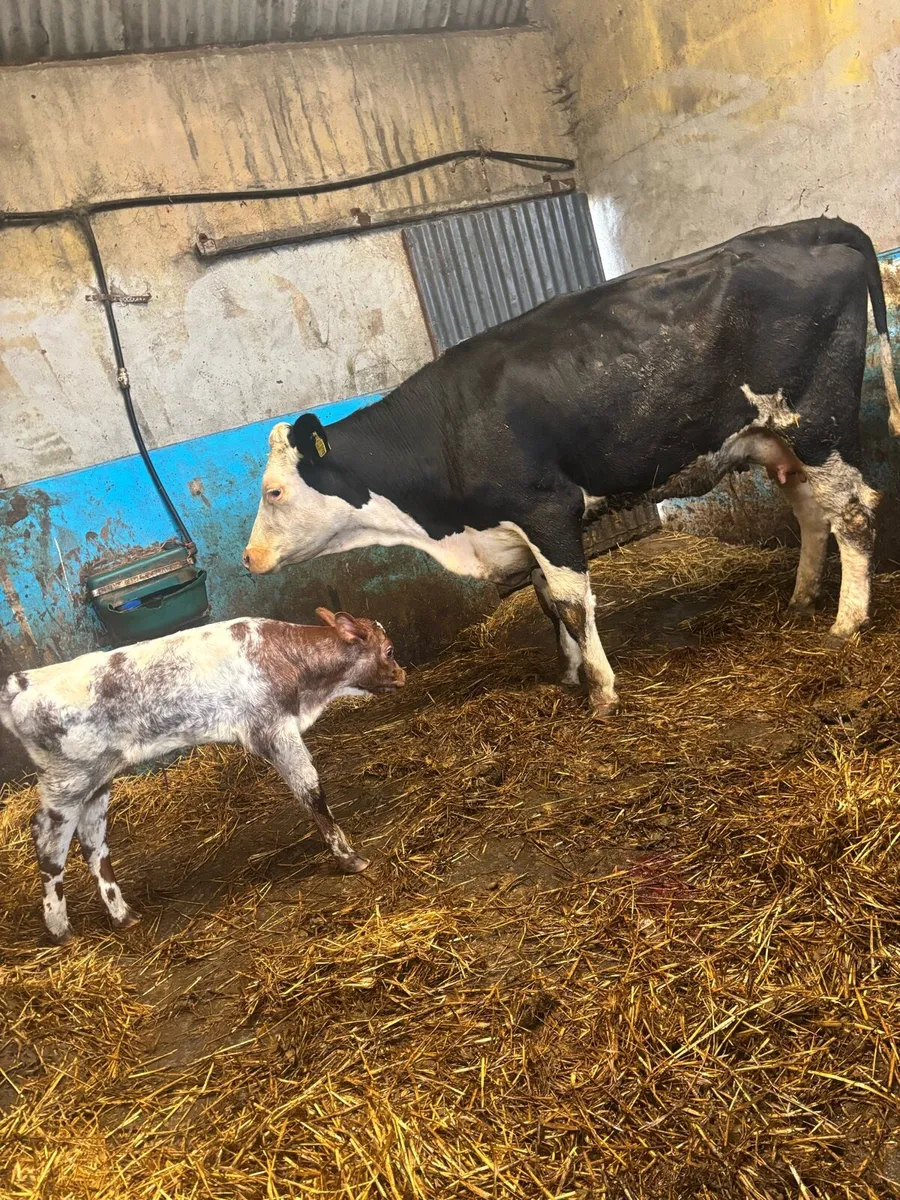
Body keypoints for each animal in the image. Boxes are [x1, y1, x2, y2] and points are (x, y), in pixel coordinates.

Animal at [0, 609, 405, 944]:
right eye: (388, 650)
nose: (402, 676)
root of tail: (26, 680)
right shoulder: (273, 730)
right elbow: (311, 791)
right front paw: (348, 858)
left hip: (98, 780)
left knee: (93, 842)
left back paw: (122, 915)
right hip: (67, 781)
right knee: (48, 840)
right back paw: (60, 930)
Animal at [243, 217, 900, 717]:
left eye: (274, 491)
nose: (248, 558)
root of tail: (804, 227)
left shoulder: (546, 509)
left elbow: (569, 600)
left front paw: (601, 689)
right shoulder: (519, 526)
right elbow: (541, 597)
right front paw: (569, 671)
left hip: (816, 421)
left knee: (853, 512)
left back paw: (846, 622)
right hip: (778, 439)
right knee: (814, 512)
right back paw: (802, 599)